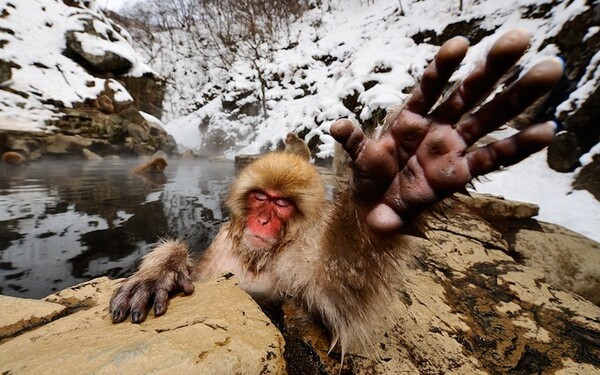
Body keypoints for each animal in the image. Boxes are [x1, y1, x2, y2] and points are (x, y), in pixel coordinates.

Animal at [110, 29, 564, 352]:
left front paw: (393, 189)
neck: (257, 258)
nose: (262, 219)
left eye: (281, 204)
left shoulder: (294, 264)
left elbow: (337, 292)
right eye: (260, 198)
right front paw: (161, 271)